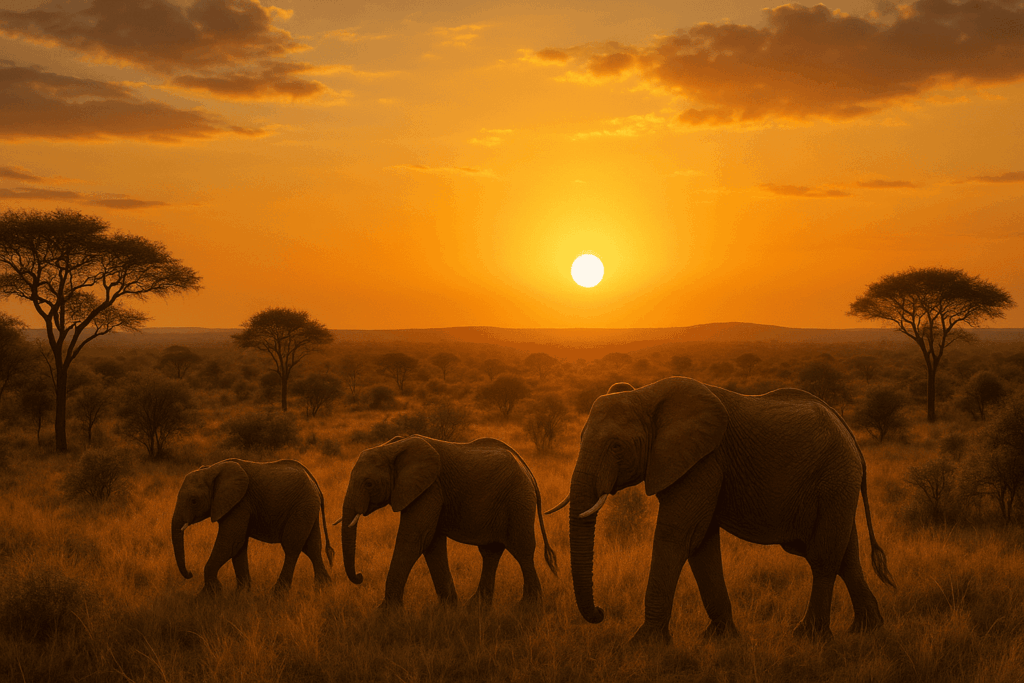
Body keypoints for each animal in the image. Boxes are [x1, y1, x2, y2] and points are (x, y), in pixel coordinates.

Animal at [172, 458, 334, 595]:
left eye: (193, 501)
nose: (190, 573)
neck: (212, 469)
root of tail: (314, 483)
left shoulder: (240, 503)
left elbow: (230, 542)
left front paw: (209, 595)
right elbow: (238, 546)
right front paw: (241, 593)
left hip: (302, 506)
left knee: (292, 547)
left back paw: (279, 593)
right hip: (308, 507)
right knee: (312, 547)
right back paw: (323, 587)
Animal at [335, 435, 557, 609]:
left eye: (369, 484)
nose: (360, 576)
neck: (391, 448)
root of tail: (528, 471)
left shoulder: (430, 488)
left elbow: (414, 540)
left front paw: (385, 613)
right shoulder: (431, 489)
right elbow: (431, 543)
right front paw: (448, 607)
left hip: (518, 500)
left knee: (521, 549)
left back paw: (527, 606)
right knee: (491, 552)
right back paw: (476, 605)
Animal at [548, 377, 895, 642]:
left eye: (617, 447)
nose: (600, 613)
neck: (647, 395)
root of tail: (851, 436)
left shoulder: (703, 460)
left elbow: (677, 536)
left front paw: (644, 643)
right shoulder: (700, 462)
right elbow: (700, 545)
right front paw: (719, 637)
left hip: (835, 477)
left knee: (823, 556)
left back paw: (809, 636)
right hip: (837, 483)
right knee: (845, 554)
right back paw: (867, 629)